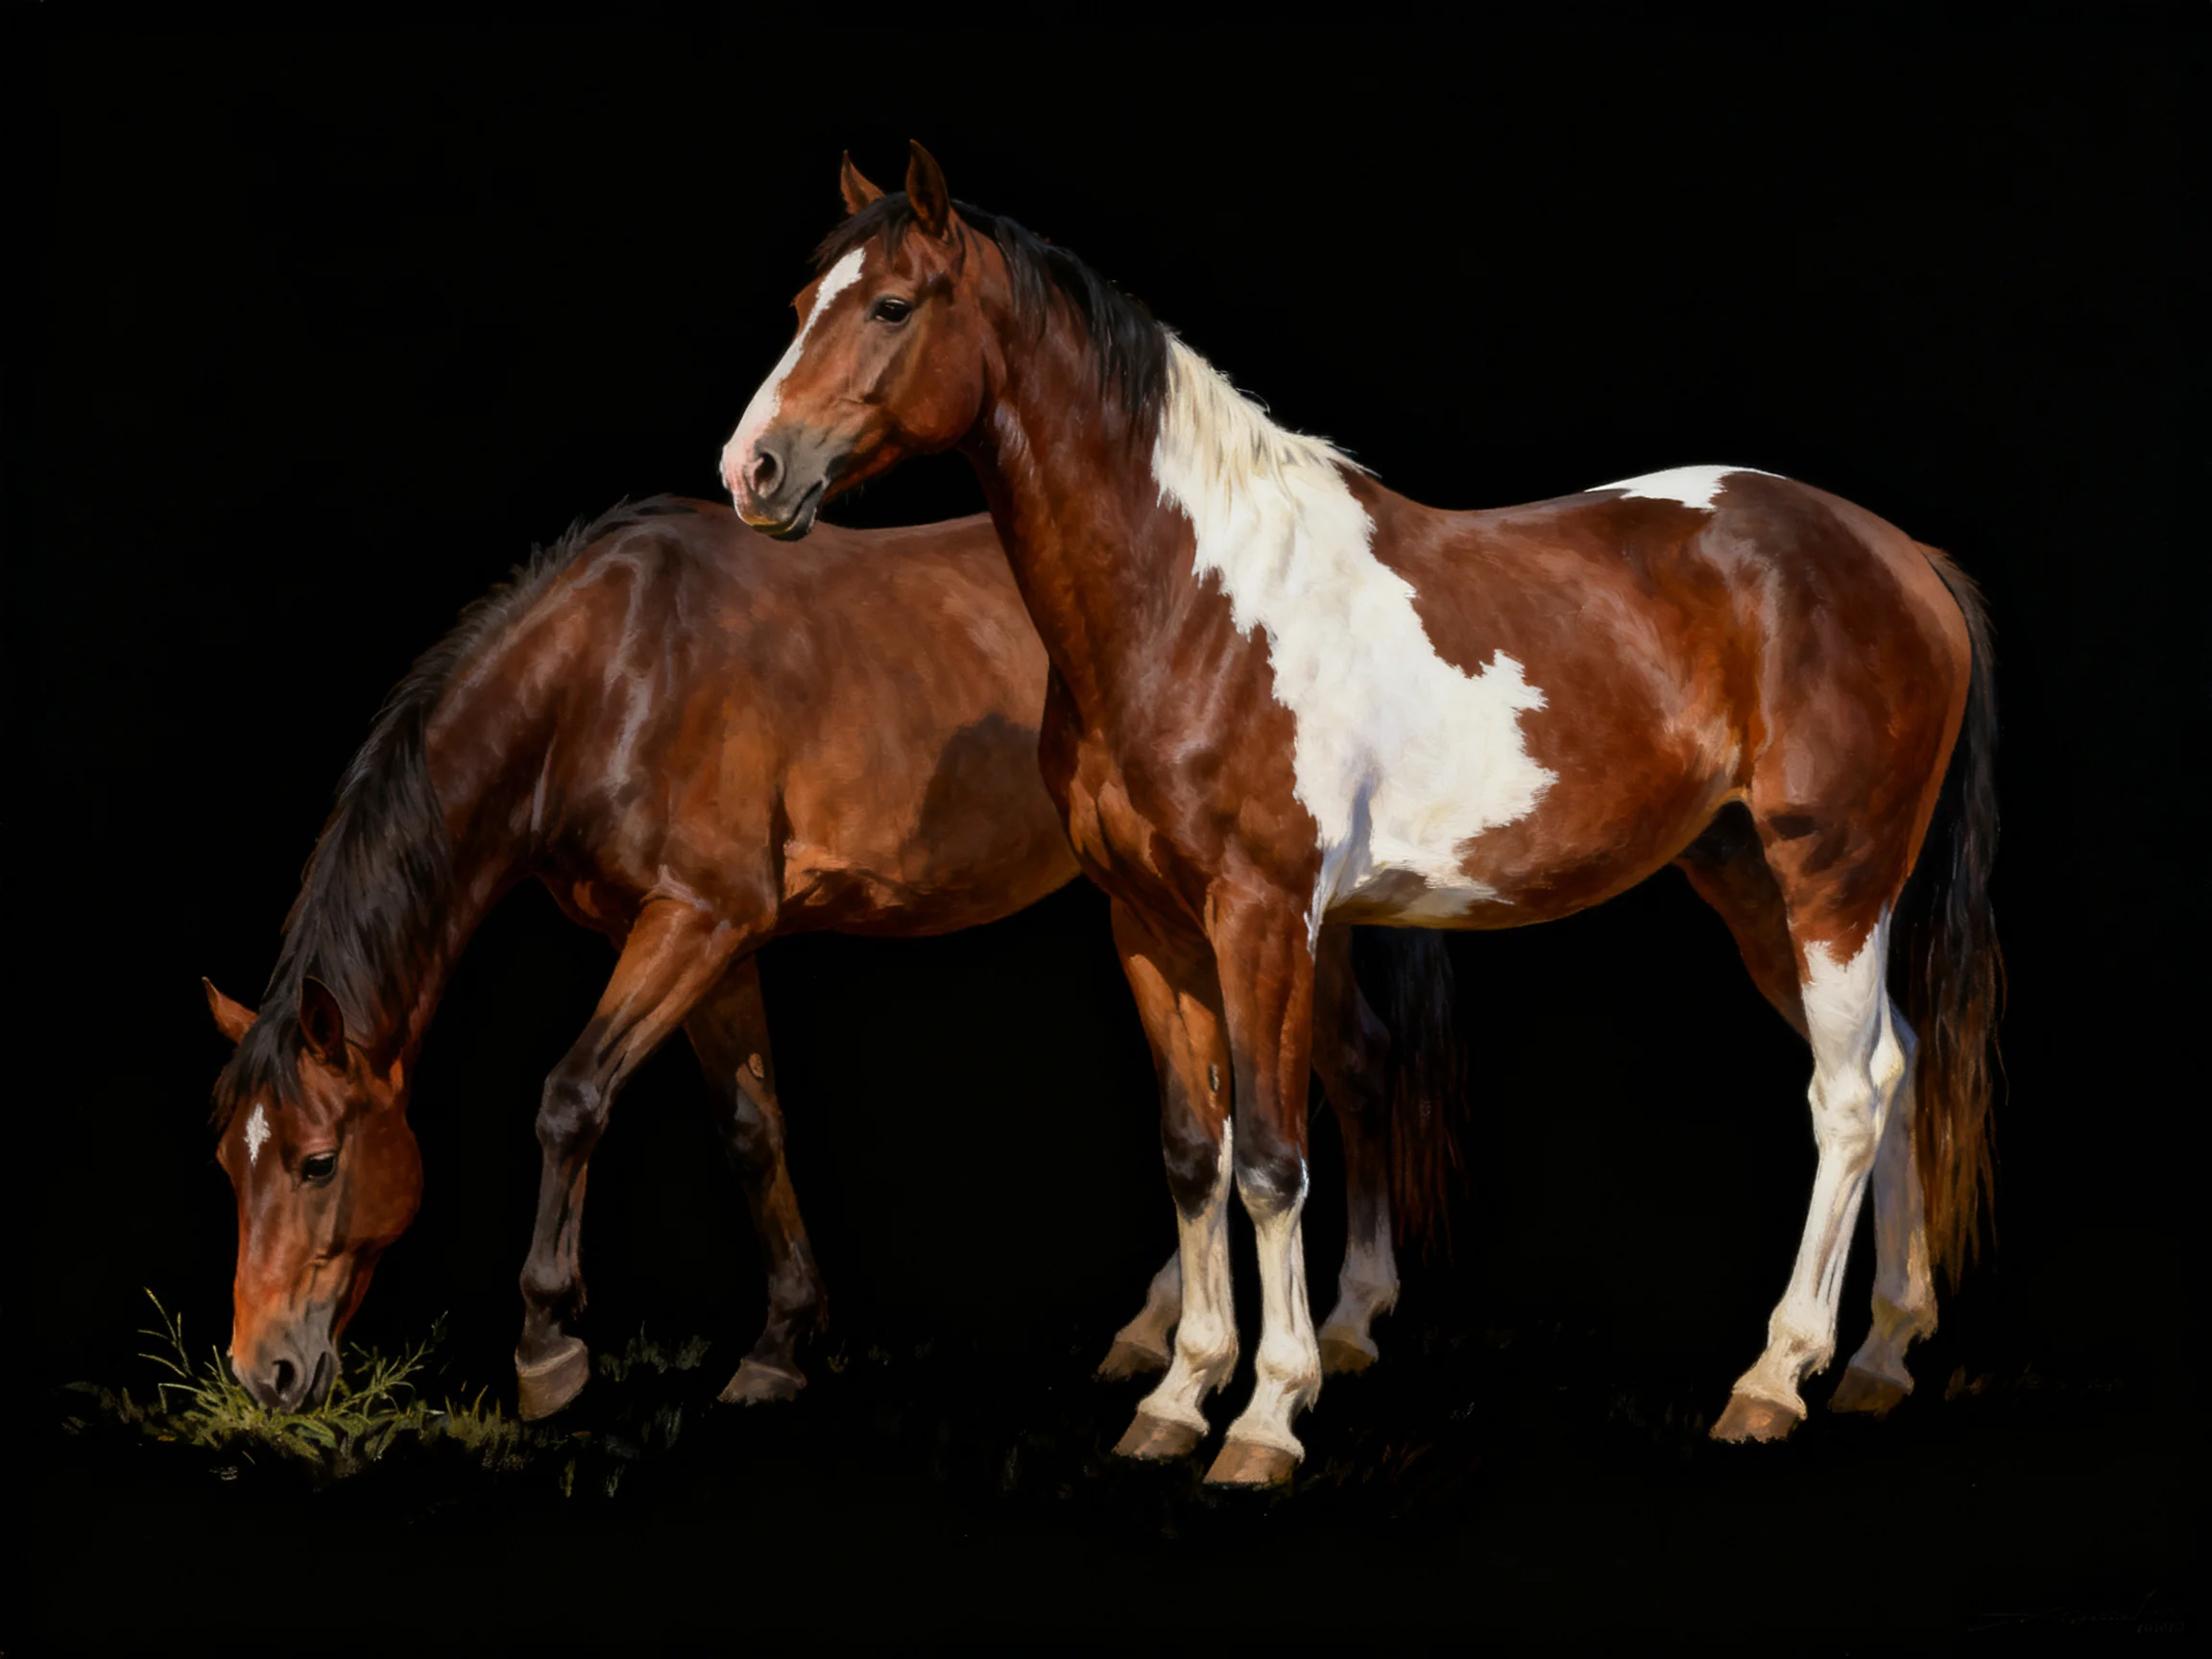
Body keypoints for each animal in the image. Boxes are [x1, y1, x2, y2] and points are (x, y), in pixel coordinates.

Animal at [205, 498, 1460, 1419]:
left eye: (316, 1163)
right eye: (229, 1165)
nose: (263, 1372)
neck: (609, 670)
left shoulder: (693, 921)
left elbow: (571, 1099)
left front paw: (548, 1345)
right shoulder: (711, 946)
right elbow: (751, 1131)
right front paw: (780, 1345)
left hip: (1277, 916)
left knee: (1352, 1070)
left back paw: (1351, 1320)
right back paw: (1156, 1325)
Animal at [718, 145, 2002, 1487]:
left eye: (892, 305)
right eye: (801, 303)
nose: (751, 471)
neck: (1193, 599)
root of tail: (1900, 555)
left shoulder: (1264, 919)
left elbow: (1275, 1164)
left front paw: (1267, 1414)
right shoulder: (1149, 927)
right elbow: (1195, 1156)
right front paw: (1176, 1397)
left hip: (1833, 879)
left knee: (1847, 1095)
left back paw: (1775, 1377)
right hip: (1750, 879)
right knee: (1898, 1063)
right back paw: (1880, 1357)